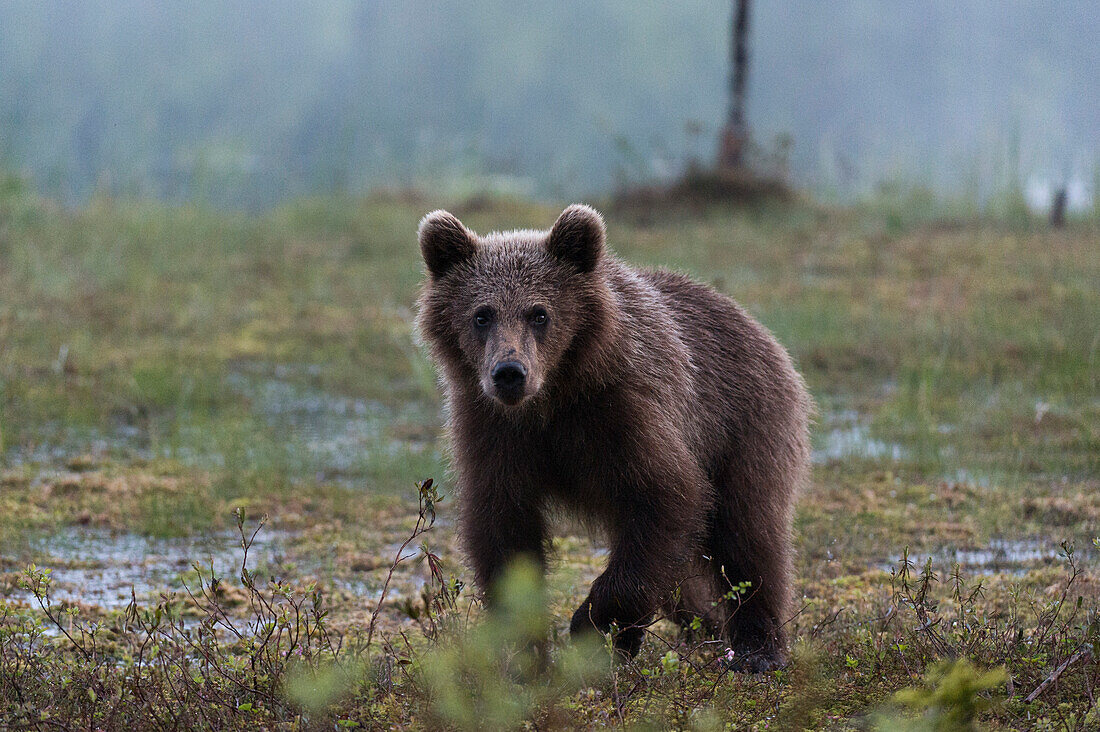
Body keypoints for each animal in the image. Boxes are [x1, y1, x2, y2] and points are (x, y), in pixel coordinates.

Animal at [415, 202, 814, 669]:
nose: (509, 373)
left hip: (744, 424)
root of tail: (756, 326)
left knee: (748, 534)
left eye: (539, 313)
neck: (552, 400)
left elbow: (667, 497)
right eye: (482, 314)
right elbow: (503, 527)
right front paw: (525, 652)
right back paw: (706, 626)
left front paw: (595, 625)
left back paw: (757, 649)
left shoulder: (621, 412)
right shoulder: (493, 430)